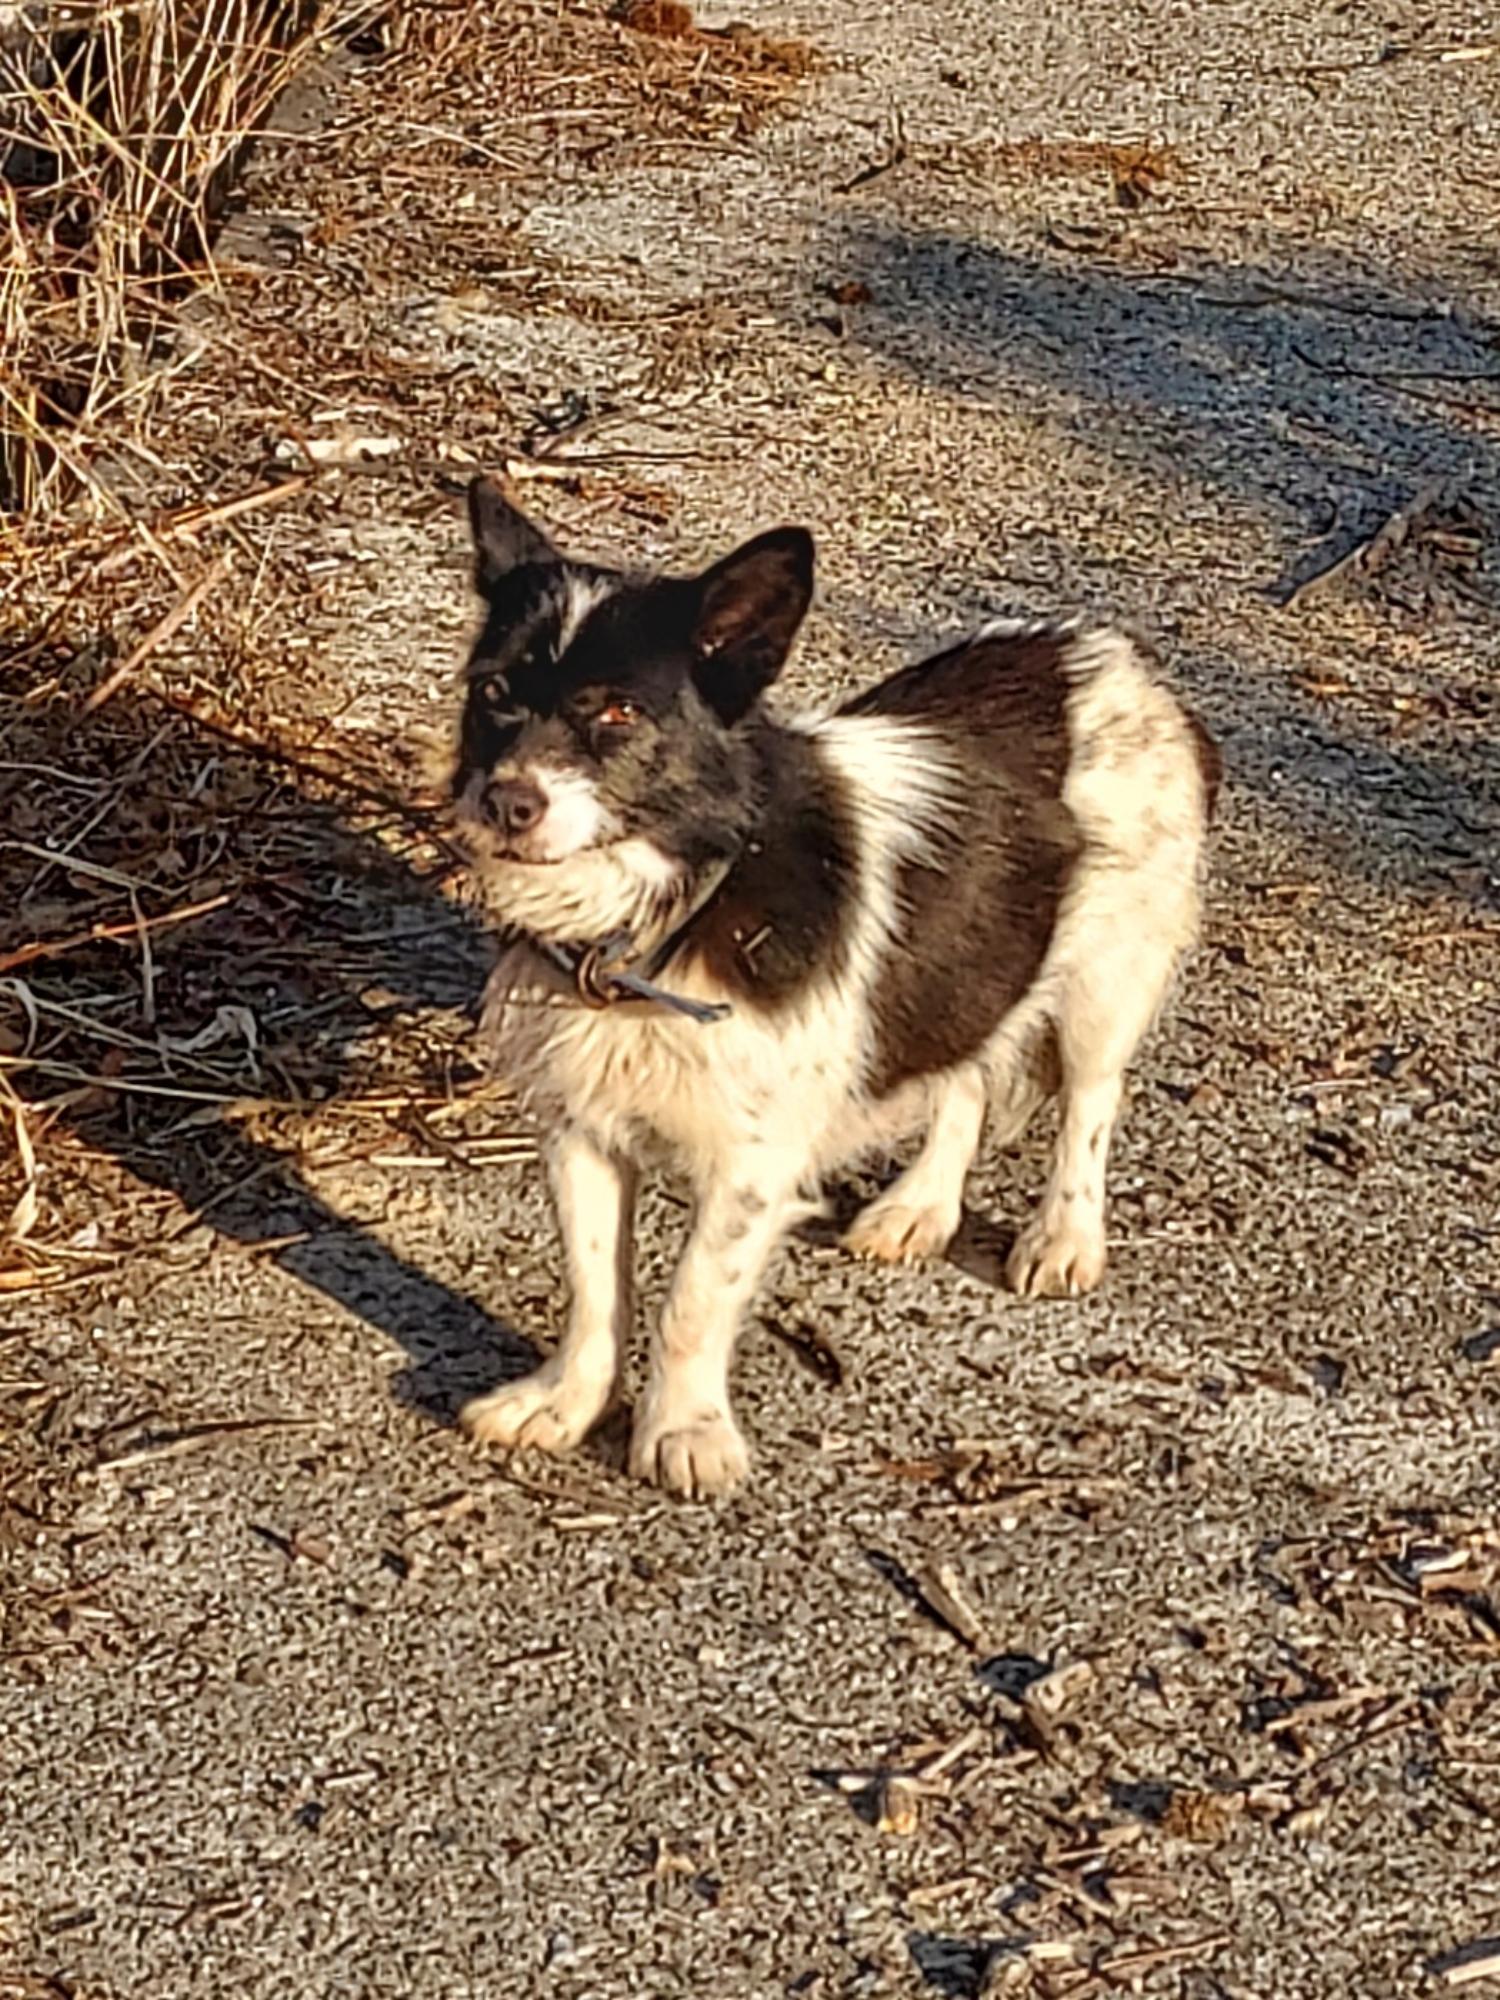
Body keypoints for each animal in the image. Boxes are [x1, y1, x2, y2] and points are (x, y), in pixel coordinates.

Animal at [450, 476, 1224, 1496]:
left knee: (1089, 1104)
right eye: (492, 693)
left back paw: (1064, 1237)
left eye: (616, 713)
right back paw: (920, 1207)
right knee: (966, 1072)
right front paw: (565, 1404)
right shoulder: (582, 1129)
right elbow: (591, 1287)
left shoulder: (750, 1164)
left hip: (1107, 975)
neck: (676, 906)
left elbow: (692, 1299)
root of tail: (1107, 653)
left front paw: (684, 1431)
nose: (505, 803)